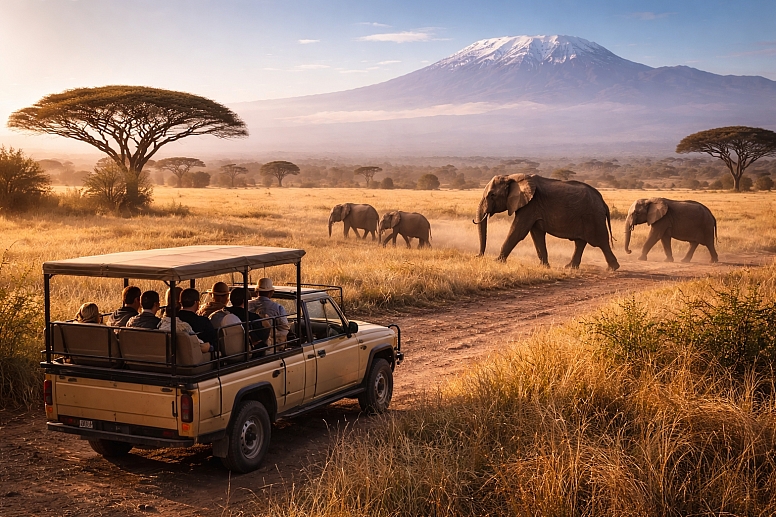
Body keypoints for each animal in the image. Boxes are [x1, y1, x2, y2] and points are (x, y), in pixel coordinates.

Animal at [474, 174, 619, 270]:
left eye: (492, 195)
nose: (478, 256)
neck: (511, 177)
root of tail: (603, 202)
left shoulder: (530, 205)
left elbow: (517, 231)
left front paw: (497, 262)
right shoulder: (532, 207)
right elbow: (536, 235)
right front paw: (544, 267)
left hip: (593, 217)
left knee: (600, 241)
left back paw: (613, 268)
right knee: (580, 242)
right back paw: (570, 267)